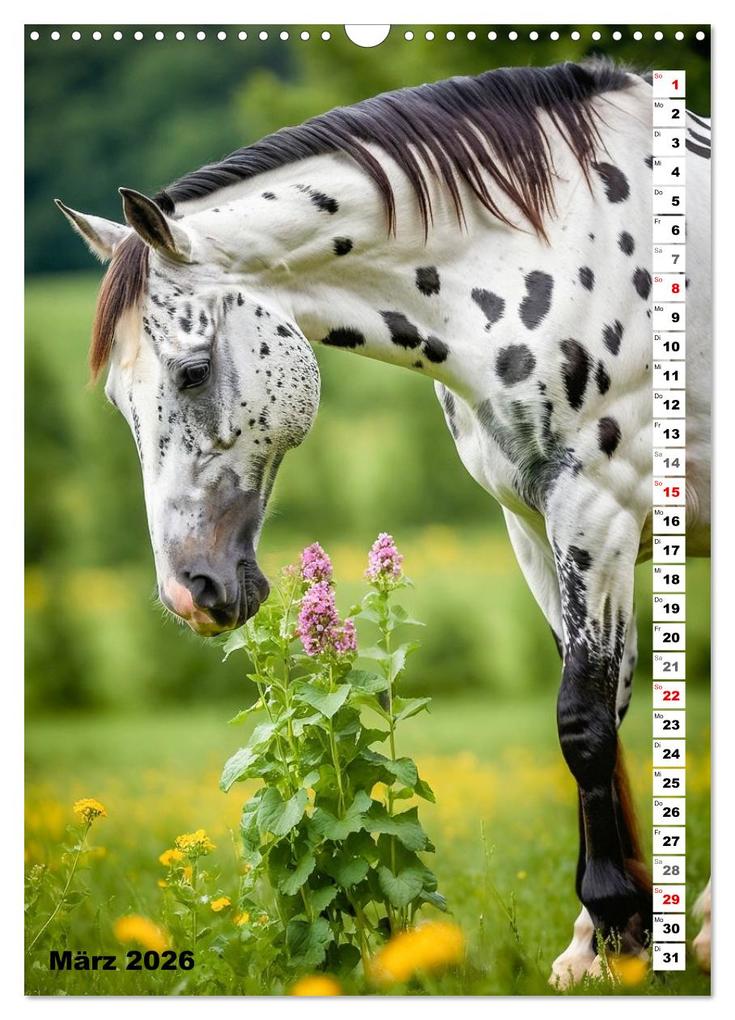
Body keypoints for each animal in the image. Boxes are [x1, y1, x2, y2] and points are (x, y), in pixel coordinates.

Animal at [55, 59, 711, 986]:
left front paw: (618, 923)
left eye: (191, 372)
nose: (191, 593)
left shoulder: (598, 510)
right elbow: (607, 710)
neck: (558, 248)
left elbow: (582, 723)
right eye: (119, 399)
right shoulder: (534, 526)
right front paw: (603, 943)